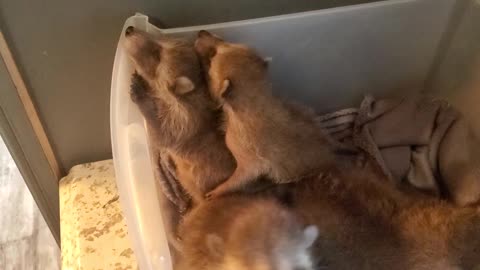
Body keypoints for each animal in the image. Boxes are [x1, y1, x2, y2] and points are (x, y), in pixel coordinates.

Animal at [122, 26, 234, 202]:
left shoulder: (184, 122)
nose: (128, 29)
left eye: (157, 53)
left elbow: (160, 135)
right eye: (158, 40)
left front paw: (140, 95)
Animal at [194, 31, 334, 198]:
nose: (201, 32)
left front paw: (215, 192)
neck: (255, 97)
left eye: (213, 55)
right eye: (227, 41)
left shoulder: (249, 162)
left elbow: (239, 179)